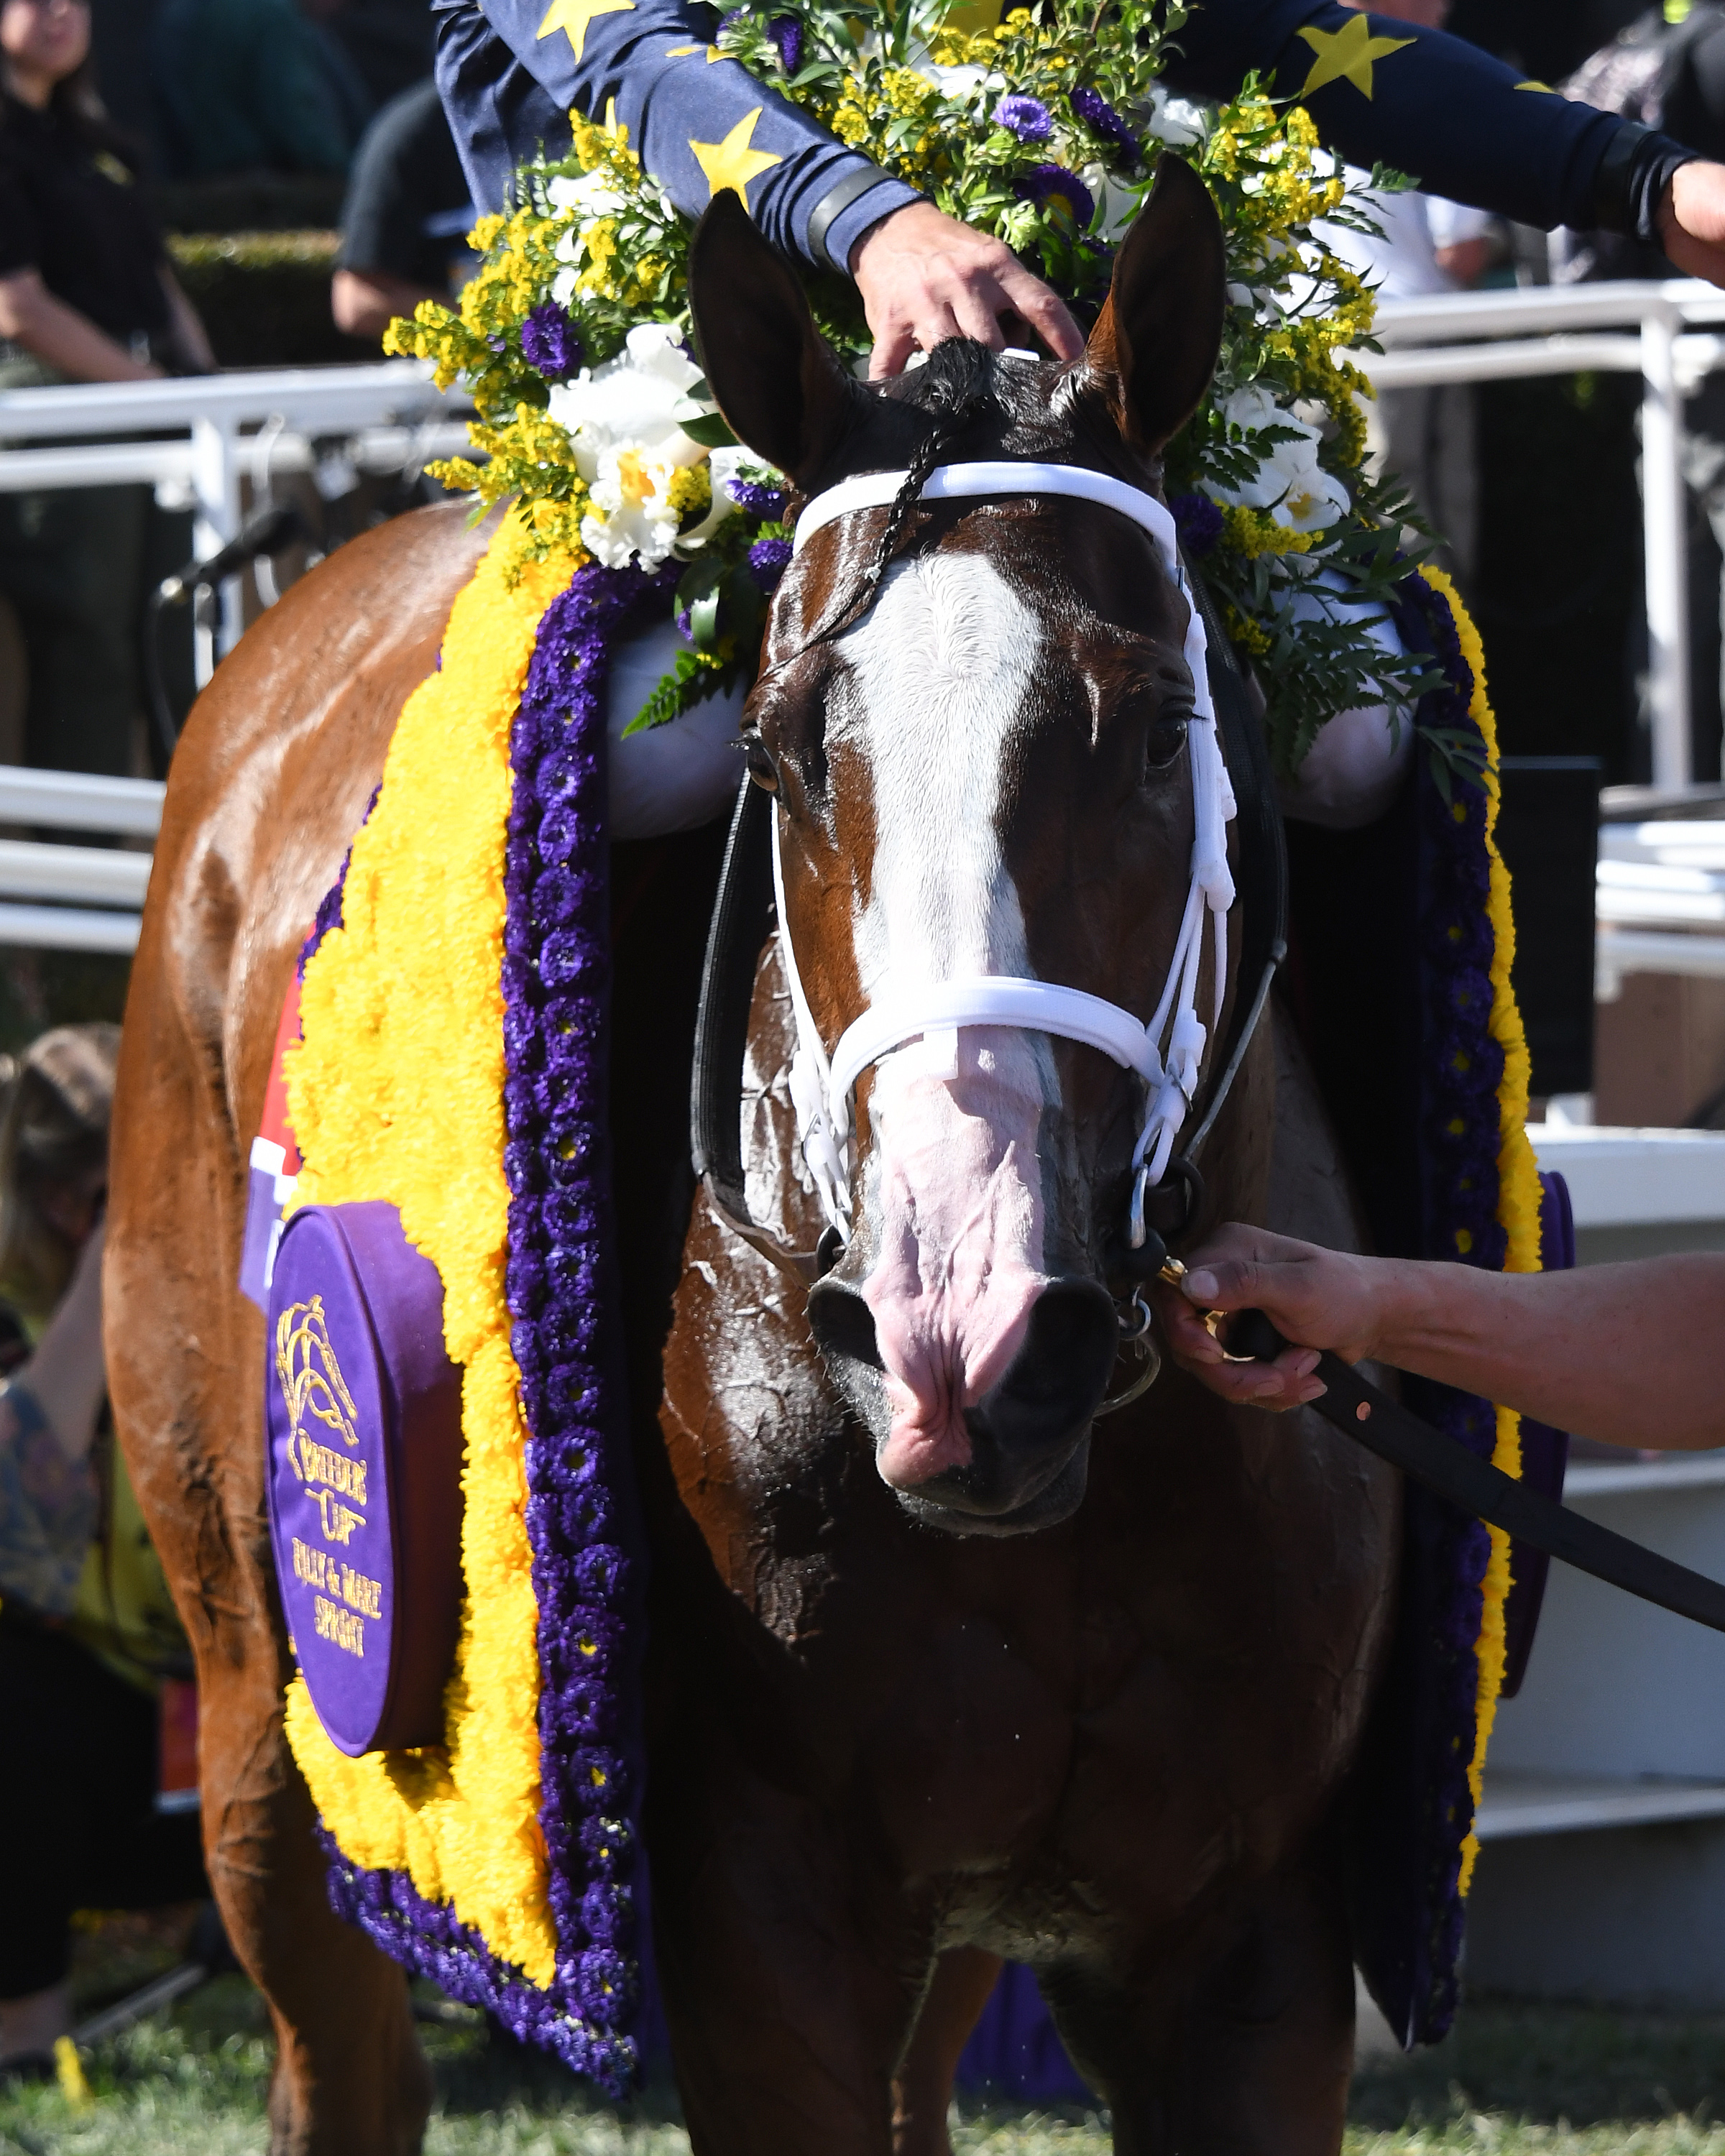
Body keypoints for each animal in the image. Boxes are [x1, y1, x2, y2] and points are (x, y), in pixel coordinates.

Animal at [107, 156, 1401, 2155]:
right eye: (783, 753)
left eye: (1148, 730)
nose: (962, 1335)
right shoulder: (766, 1931)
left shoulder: (1250, 1948)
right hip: (261, 1684)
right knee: (338, 2038)